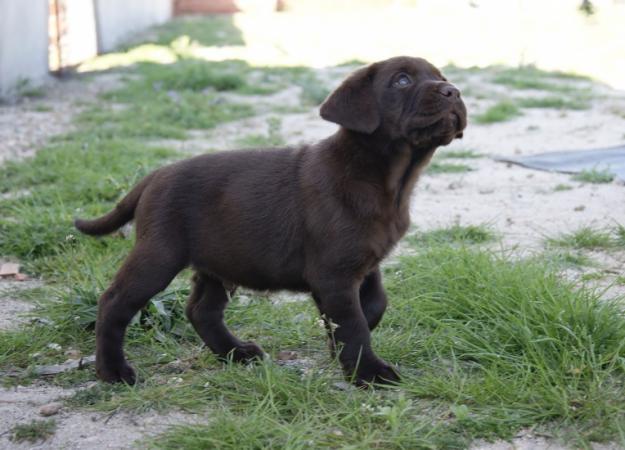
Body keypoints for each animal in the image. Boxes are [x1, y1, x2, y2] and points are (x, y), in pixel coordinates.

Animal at [74, 56, 464, 386]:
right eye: (402, 80)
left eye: (442, 77)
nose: (453, 91)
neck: (388, 180)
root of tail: (155, 175)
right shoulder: (334, 272)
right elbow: (353, 323)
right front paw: (367, 370)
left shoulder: (365, 263)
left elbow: (373, 306)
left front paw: (337, 346)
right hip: (159, 255)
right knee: (114, 302)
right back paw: (113, 371)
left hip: (219, 262)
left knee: (201, 310)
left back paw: (236, 353)